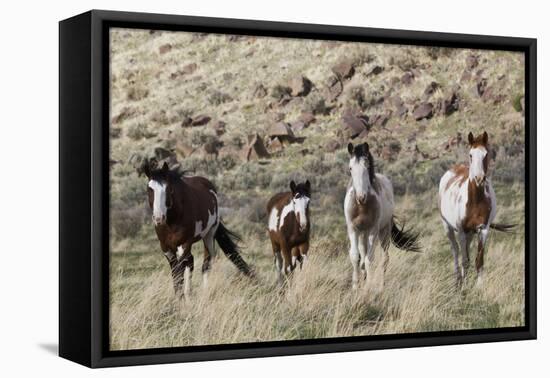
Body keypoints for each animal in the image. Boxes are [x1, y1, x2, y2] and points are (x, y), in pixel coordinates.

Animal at [344, 142, 422, 290]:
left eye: (367, 166)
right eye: (350, 168)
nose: (361, 197)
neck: (362, 207)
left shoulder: (373, 230)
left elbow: (370, 259)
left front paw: (368, 287)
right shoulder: (353, 229)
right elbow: (355, 256)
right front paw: (356, 286)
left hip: (384, 231)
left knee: (384, 259)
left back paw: (381, 286)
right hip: (363, 233)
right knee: (363, 256)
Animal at [440, 131, 516, 286]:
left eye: (486, 154)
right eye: (470, 155)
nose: (479, 178)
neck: (475, 201)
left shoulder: (483, 230)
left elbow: (478, 261)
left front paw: (479, 286)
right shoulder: (461, 232)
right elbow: (464, 260)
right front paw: (463, 286)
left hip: (470, 233)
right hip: (448, 228)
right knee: (455, 251)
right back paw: (458, 279)